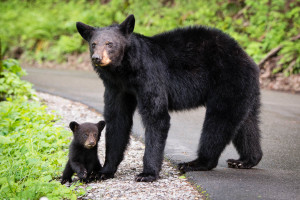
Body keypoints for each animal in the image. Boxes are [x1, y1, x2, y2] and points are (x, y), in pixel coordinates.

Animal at [76, 14, 262, 182]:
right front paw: (103, 172)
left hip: (227, 80)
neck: (124, 72)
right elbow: (117, 120)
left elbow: (156, 116)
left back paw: (197, 163)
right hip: (244, 89)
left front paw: (147, 174)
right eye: (93, 44)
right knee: (245, 122)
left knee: (219, 121)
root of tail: (246, 56)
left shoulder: (149, 76)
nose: (97, 58)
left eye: (110, 44)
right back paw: (246, 160)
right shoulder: (116, 88)